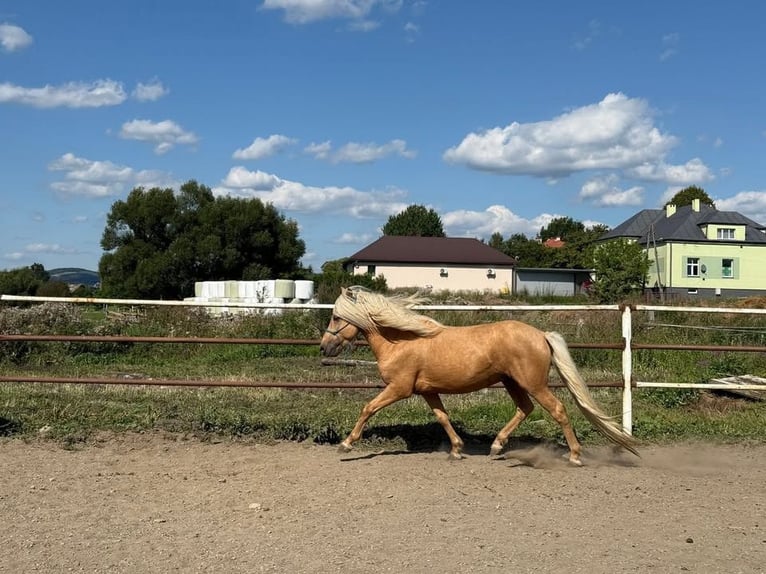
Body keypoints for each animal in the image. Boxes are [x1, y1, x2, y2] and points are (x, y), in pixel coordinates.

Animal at [319, 286, 639, 464]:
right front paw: (456, 450)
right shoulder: (427, 390)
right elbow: (442, 417)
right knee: (525, 408)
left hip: (533, 382)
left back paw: (574, 456)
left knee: (557, 410)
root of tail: (541, 335)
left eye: (335, 317)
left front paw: (346, 444)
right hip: (512, 382)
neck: (401, 340)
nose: (324, 347)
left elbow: (368, 407)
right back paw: (496, 446)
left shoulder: (399, 388)